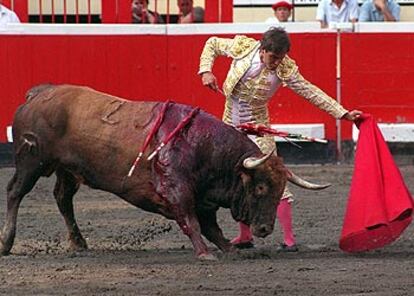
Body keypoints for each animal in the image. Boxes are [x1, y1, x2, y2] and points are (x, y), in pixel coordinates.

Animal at [0, 84, 330, 260]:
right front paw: (205, 253)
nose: (264, 229)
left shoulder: (203, 199)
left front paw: (229, 248)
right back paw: (6, 242)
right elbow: (193, 223)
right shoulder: (177, 192)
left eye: (278, 190)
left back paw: (79, 243)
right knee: (15, 192)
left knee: (62, 198)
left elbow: (212, 227)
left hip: (67, 170)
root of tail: (39, 93)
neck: (204, 147)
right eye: (260, 188)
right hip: (31, 162)